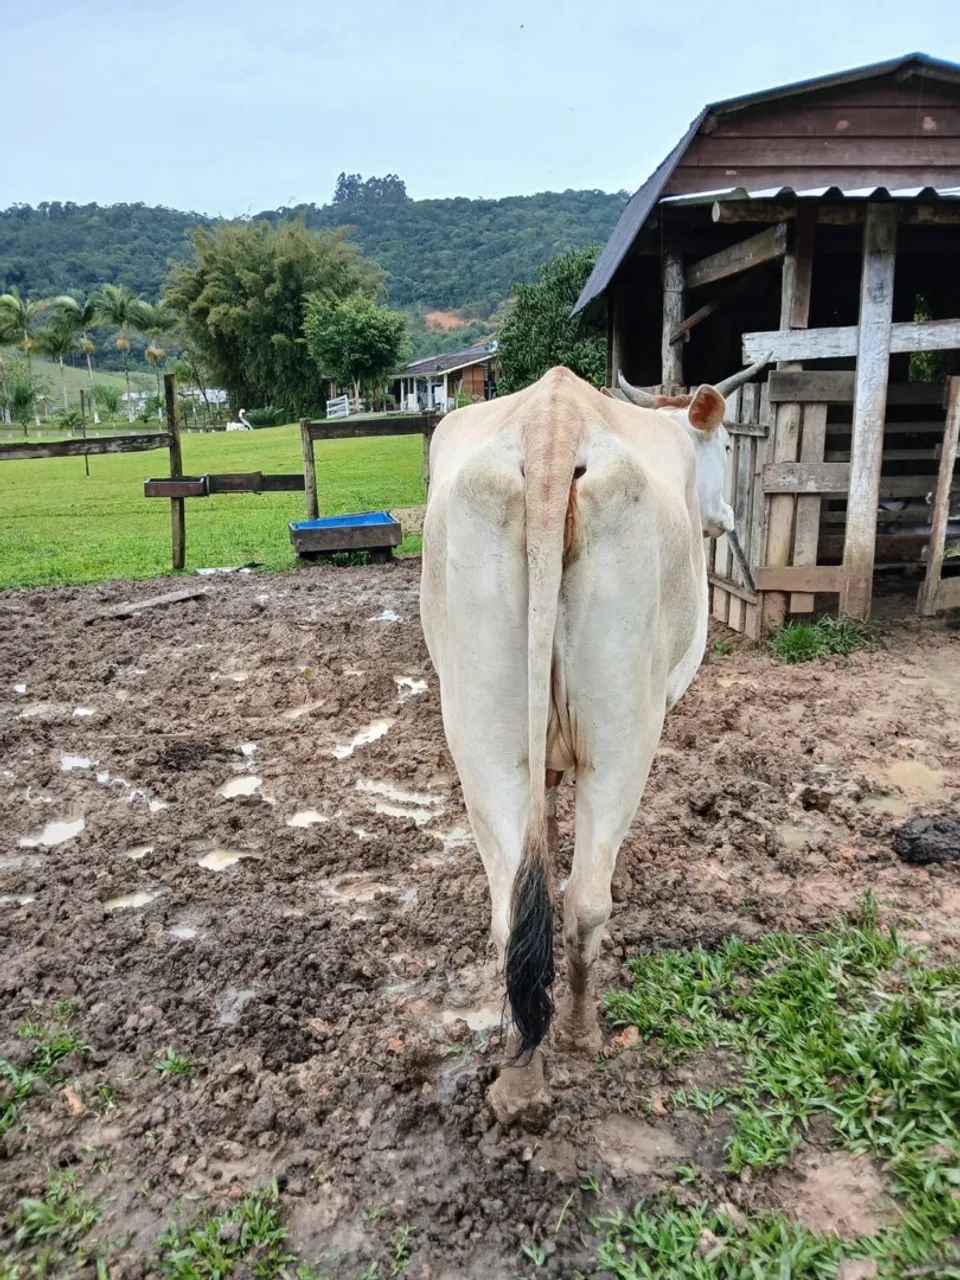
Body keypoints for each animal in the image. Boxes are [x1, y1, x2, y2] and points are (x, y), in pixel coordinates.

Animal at [420, 360, 761, 1123]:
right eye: (728, 445)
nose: (728, 520)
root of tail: (553, 425)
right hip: (626, 734)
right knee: (585, 900)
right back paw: (579, 1034)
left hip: (480, 736)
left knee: (512, 912)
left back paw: (520, 1079)